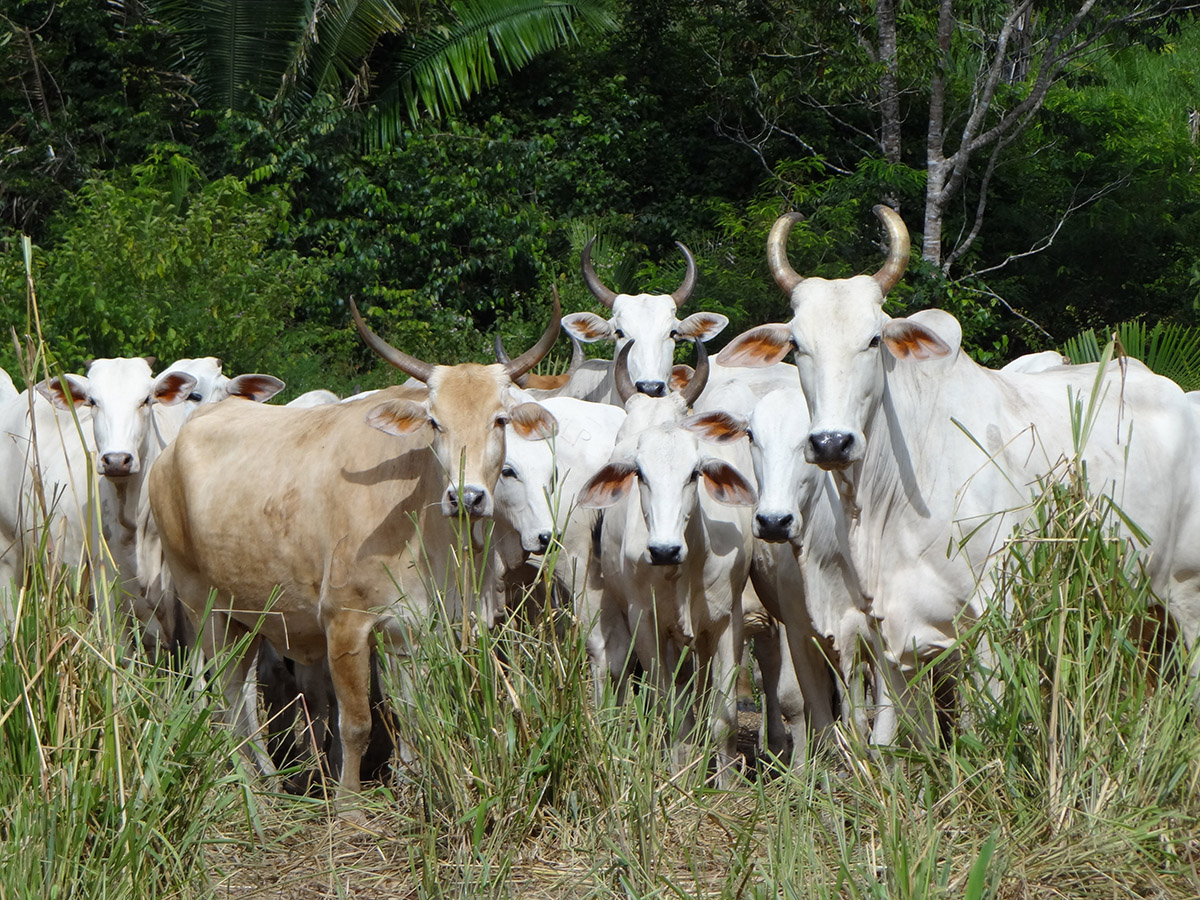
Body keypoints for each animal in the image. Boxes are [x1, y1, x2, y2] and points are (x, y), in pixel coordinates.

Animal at [148, 294, 561, 807]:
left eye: (499, 420)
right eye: (434, 423)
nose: (466, 497)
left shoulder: (412, 630)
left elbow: (412, 712)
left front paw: (414, 785)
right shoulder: (345, 624)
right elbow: (357, 723)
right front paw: (348, 806)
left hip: (246, 613)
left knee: (240, 695)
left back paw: (267, 777)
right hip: (203, 607)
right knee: (228, 698)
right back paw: (250, 785)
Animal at [718, 204, 1200, 742]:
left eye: (874, 339)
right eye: (798, 344)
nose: (830, 442)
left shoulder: (993, 621)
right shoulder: (889, 633)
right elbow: (896, 742)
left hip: (1188, 596)